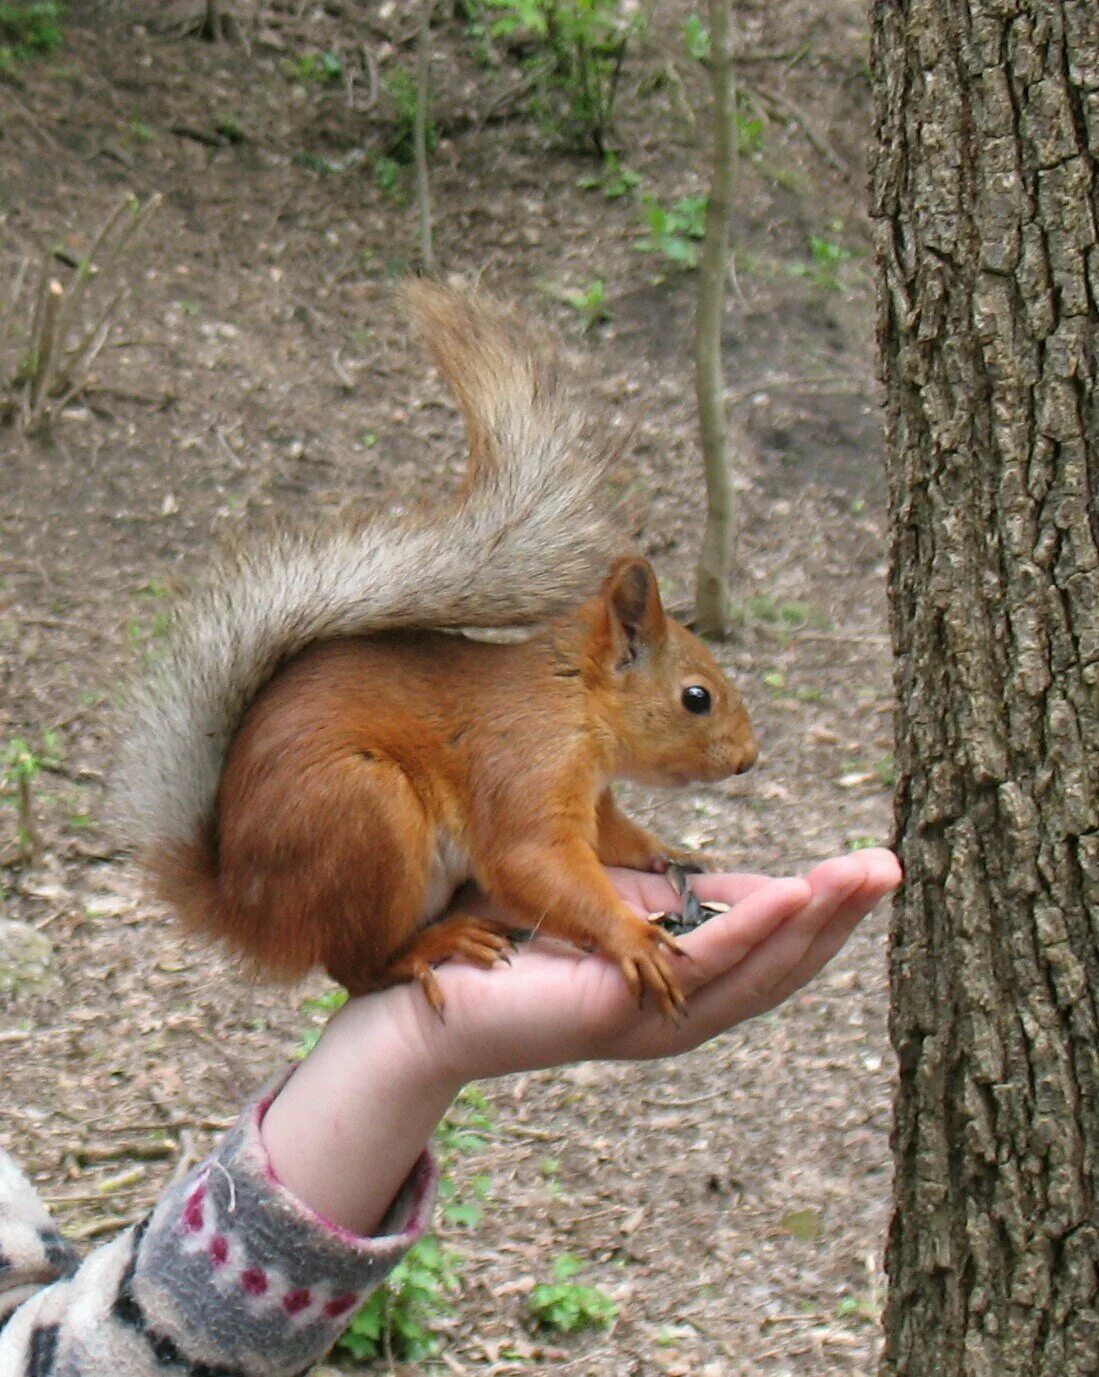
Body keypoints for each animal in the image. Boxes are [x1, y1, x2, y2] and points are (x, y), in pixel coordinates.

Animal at [116, 282, 760, 1013]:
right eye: (696, 697)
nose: (748, 759)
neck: (571, 698)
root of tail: (245, 909)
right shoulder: (523, 766)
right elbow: (530, 861)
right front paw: (633, 938)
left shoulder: (591, 797)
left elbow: (615, 837)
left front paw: (667, 853)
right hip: (365, 813)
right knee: (357, 969)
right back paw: (435, 946)